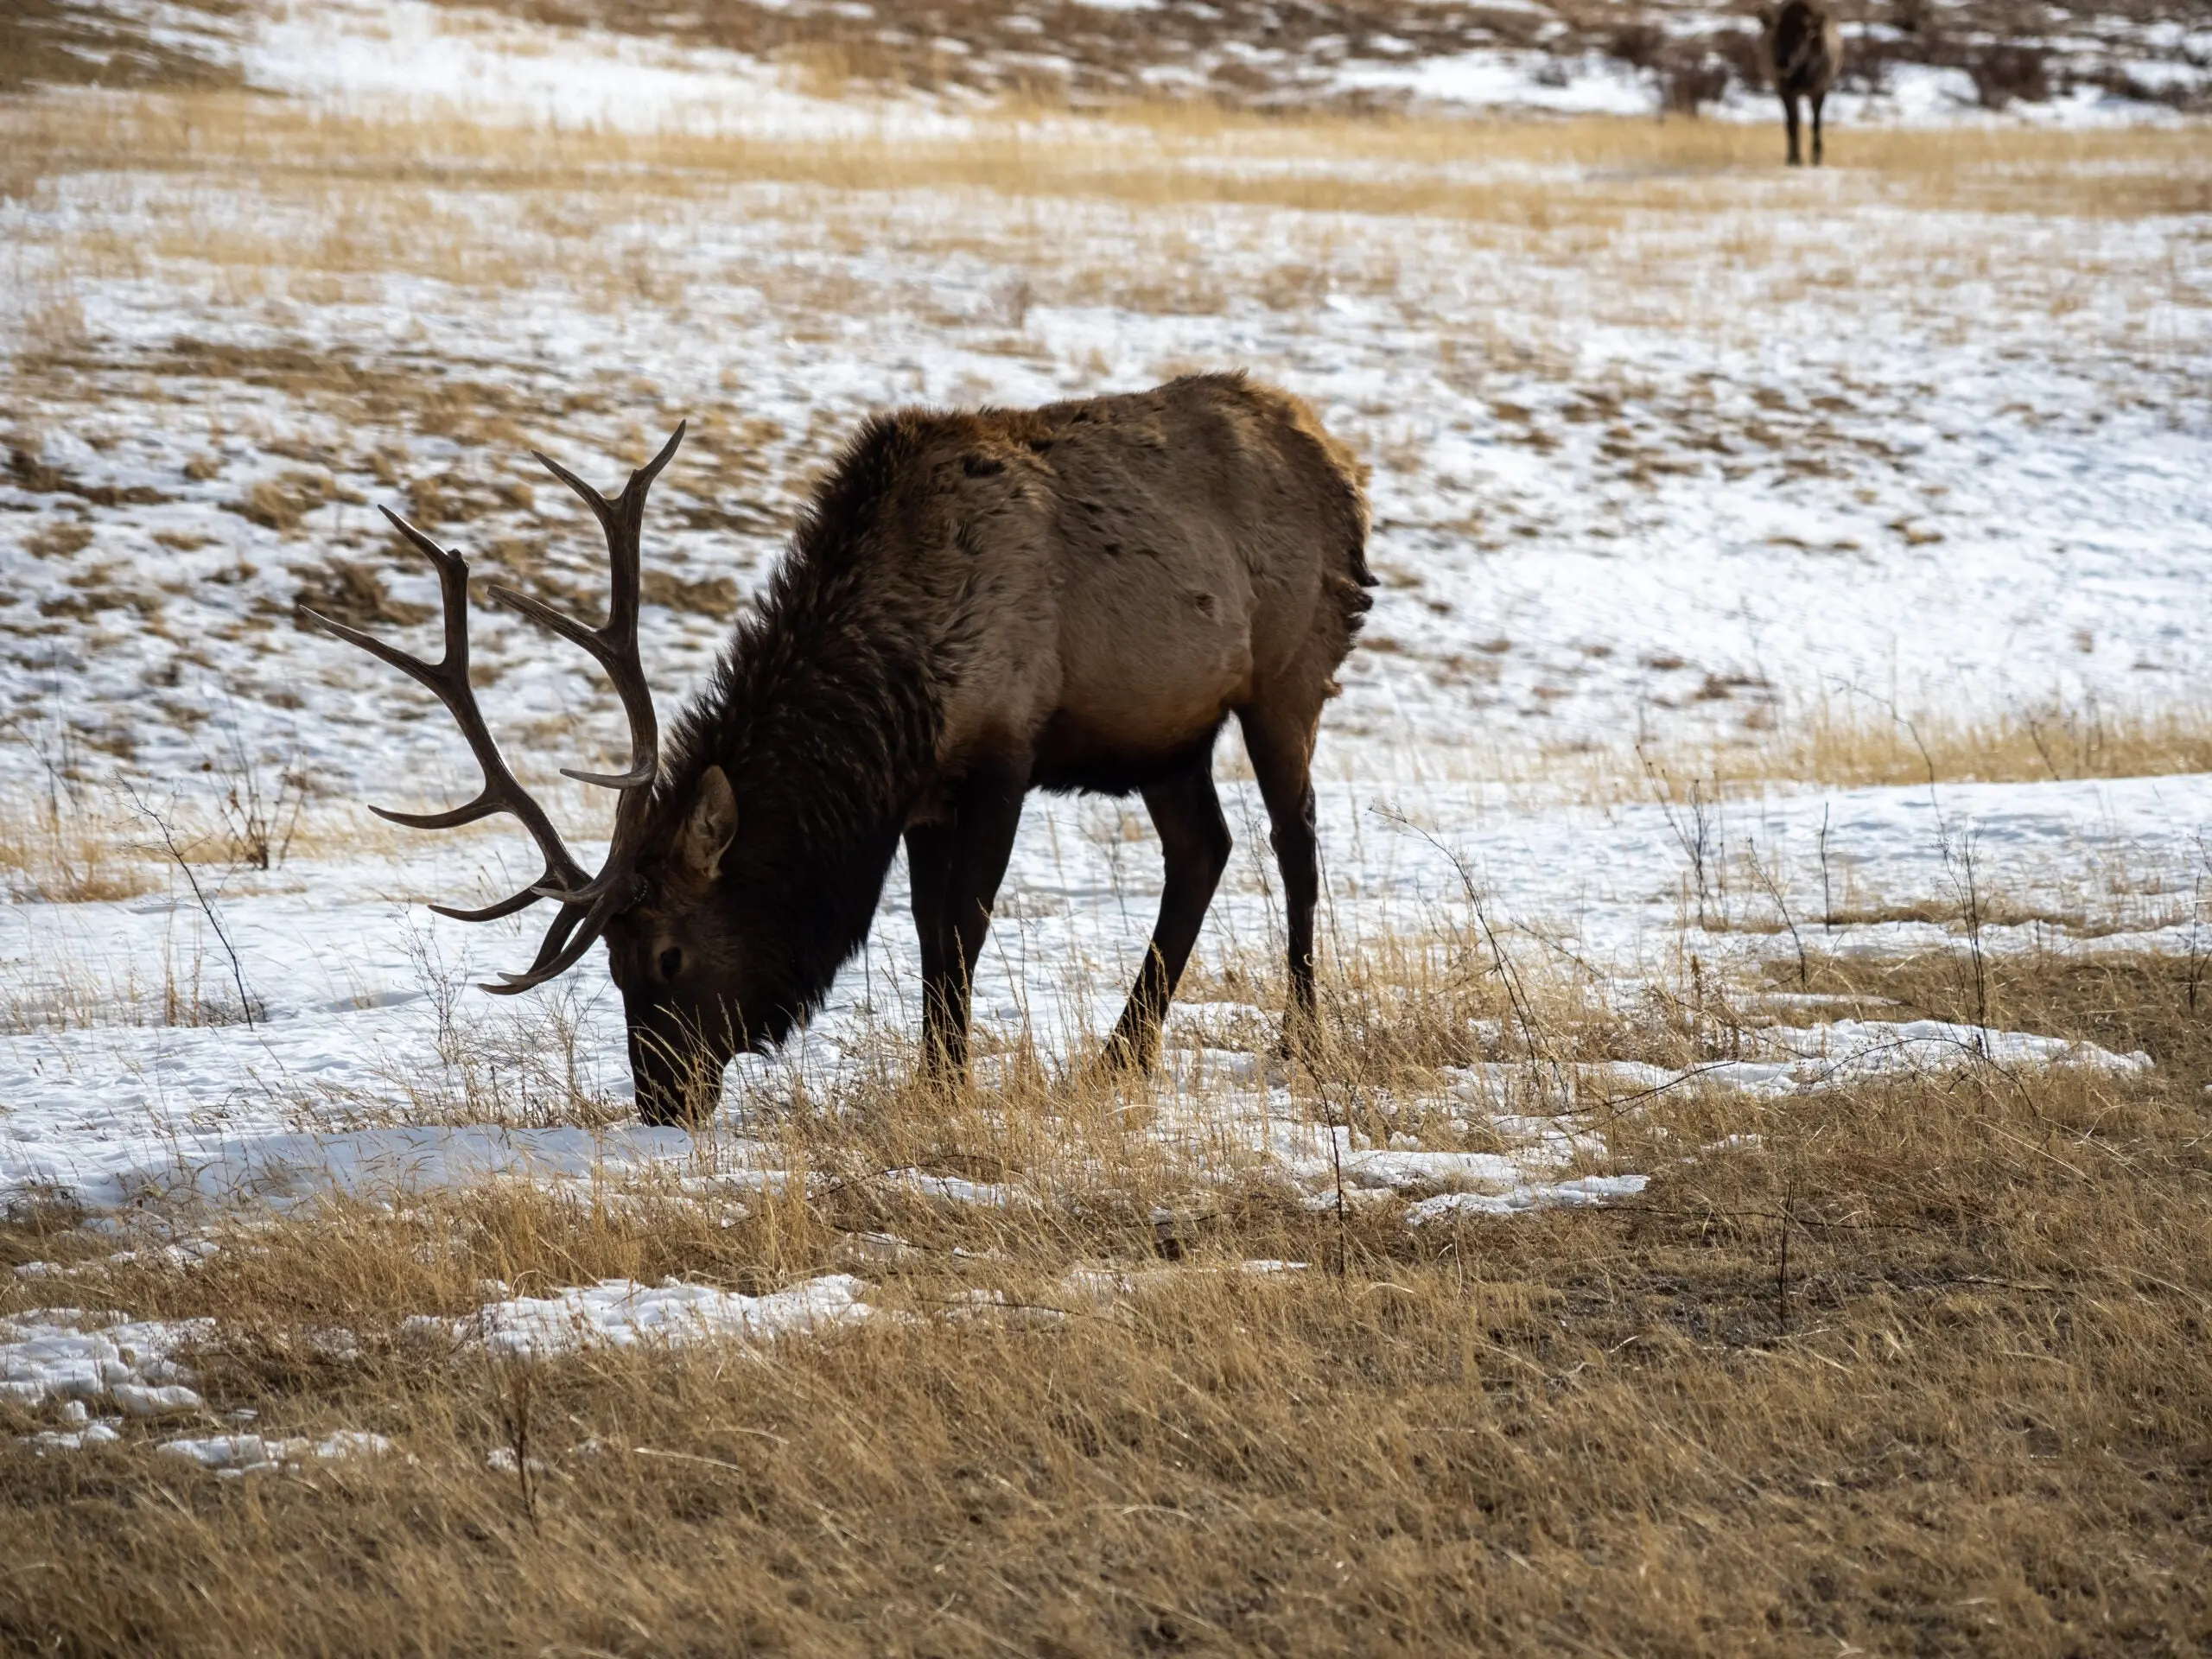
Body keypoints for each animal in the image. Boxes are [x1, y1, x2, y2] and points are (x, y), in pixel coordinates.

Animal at [302, 373, 1371, 1132]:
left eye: (668, 954)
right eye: (609, 964)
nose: (660, 1103)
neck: (895, 686)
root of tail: (1344, 465)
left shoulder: (1004, 745)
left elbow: (963, 931)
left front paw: (944, 1085)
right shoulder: (926, 793)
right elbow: (931, 935)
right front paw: (940, 1078)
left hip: (1288, 674)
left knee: (1294, 845)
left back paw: (1299, 1040)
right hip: (1166, 730)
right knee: (1202, 850)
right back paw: (1121, 1054)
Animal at [1770, 0, 1840, 167]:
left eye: (1800, 36)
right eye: (1778, 33)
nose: (1782, 63)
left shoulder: (1819, 90)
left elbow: (1816, 123)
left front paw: (1816, 158)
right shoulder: (1786, 91)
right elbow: (1792, 123)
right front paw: (1793, 158)